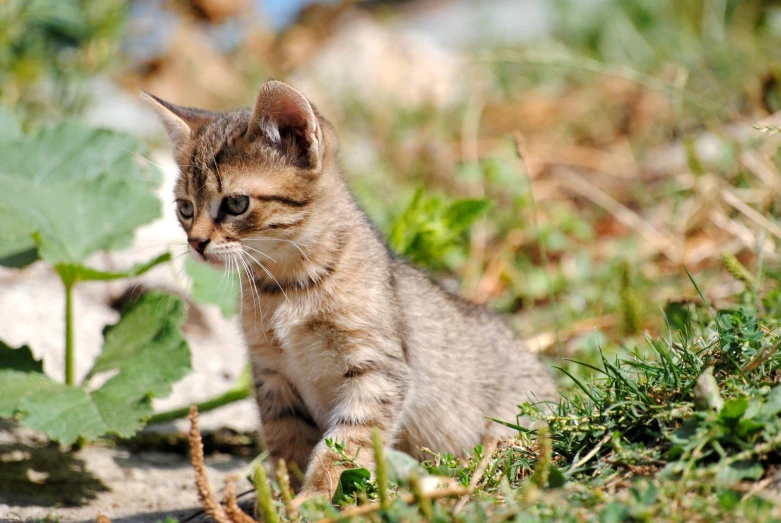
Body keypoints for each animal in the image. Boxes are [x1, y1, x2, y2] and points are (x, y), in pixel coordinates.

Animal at [140, 81, 556, 500]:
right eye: (184, 208)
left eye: (236, 203)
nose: (196, 243)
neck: (286, 287)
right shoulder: (272, 375)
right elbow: (285, 441)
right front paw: (286, 496)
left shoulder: (377, 372)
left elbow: (347, 442)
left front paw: (317, 496)